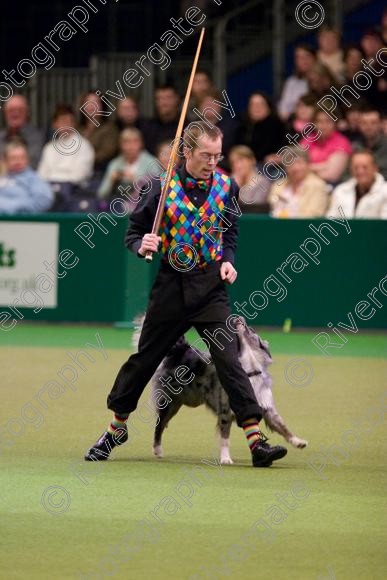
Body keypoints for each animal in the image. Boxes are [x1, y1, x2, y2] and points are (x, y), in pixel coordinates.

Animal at [134, 314, 310, 464]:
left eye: (251, 330)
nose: (239, 317)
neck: (250, 371)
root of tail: (182, 350)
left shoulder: (266, 409)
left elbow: (283, 426)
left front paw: (298, 441)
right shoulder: (225, 412)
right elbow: (225, 438)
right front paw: (225, 458)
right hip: (170, 403)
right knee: (159, 425)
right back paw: (157, 450)